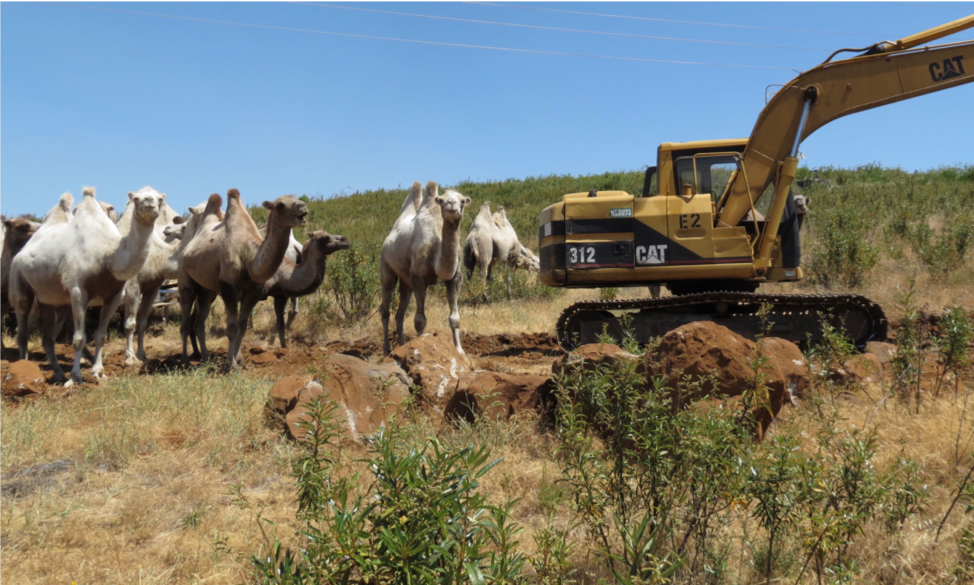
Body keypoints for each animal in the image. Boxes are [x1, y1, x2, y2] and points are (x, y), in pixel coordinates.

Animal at [9, 187, 161, 384]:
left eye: (160, 198)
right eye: (136, 199)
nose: (150, 205)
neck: (108, 255)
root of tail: (21, 253)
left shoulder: (114, 296)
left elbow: (100, 335)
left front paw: (99, 372)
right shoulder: (78, 292)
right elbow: (79, 338)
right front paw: (75, 377)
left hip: (49, 299)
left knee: (48, 338)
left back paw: (59, 373)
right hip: (19, 280)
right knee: (22, 326)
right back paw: (24, 368)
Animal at [380, 181, 470, 356]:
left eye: (462, 201)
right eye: (441, 200)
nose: (451, 205)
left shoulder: (454, 278)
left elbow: (455, 318)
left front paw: (459, 351)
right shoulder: (418, 278)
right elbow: (420, 320)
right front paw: (418, 348)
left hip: (405, 281)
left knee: (400, 314)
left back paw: (401, 345)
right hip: (386, 268)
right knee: (385, 309)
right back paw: (387, 349)